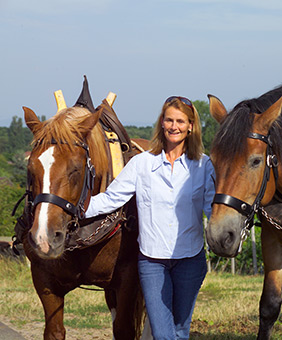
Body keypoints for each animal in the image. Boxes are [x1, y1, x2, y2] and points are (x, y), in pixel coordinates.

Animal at [17, 97, 148, 338]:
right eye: (30, 169)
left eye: (75, 169)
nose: (44, 238)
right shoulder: (43, 278)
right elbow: (54, 331)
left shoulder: (128, 276)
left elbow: (124, 329)